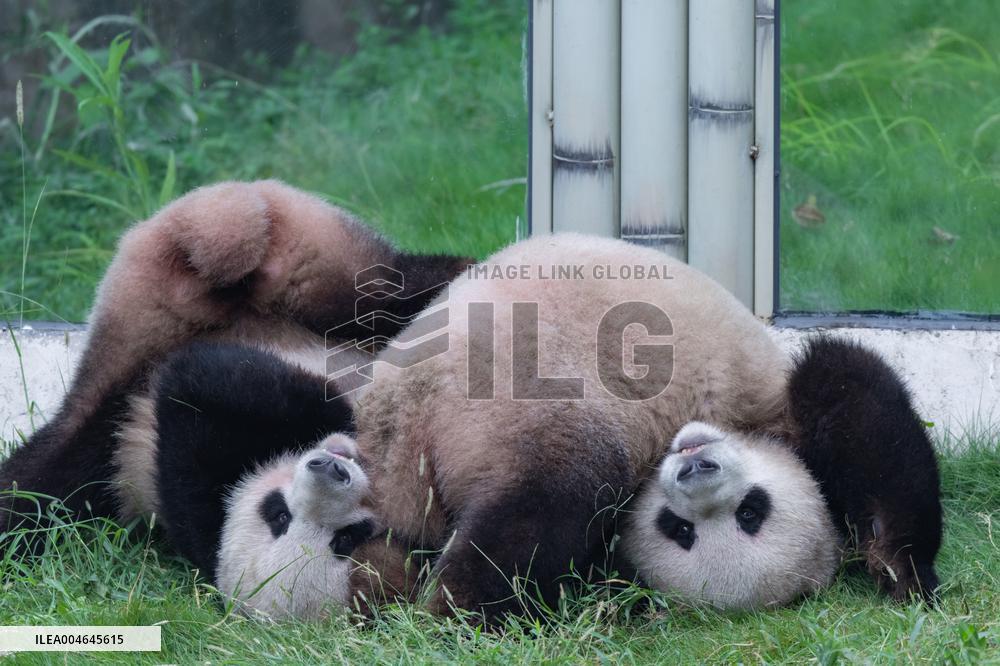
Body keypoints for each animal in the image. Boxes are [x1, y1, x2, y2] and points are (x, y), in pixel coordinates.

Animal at [0, 181, 942, 621]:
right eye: (687, 529)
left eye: (745, 516)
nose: (697, 466)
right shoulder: (760, 406)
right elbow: (855, 394)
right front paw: (905, 568)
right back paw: (457, 604)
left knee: (63, 463)